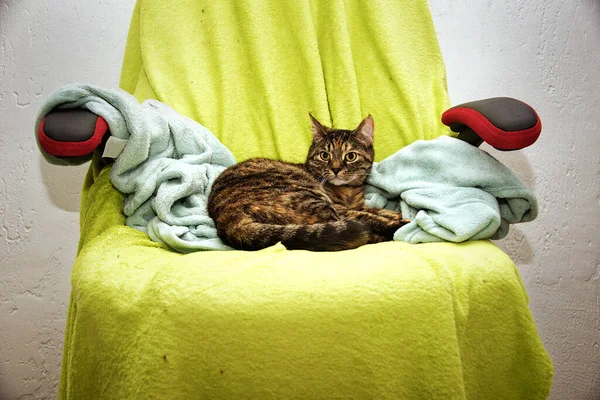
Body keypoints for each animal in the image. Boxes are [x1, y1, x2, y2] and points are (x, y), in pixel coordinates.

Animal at [206, 115, 408, 250]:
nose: (335, 169)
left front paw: (396, 214)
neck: (349, 191)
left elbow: (377, 210)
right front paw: (400, 220)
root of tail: (224, 215)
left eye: (350, 156)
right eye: (324, 155)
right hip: (309, 198)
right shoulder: (343, 208)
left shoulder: (357, 205)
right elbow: (370, 216)